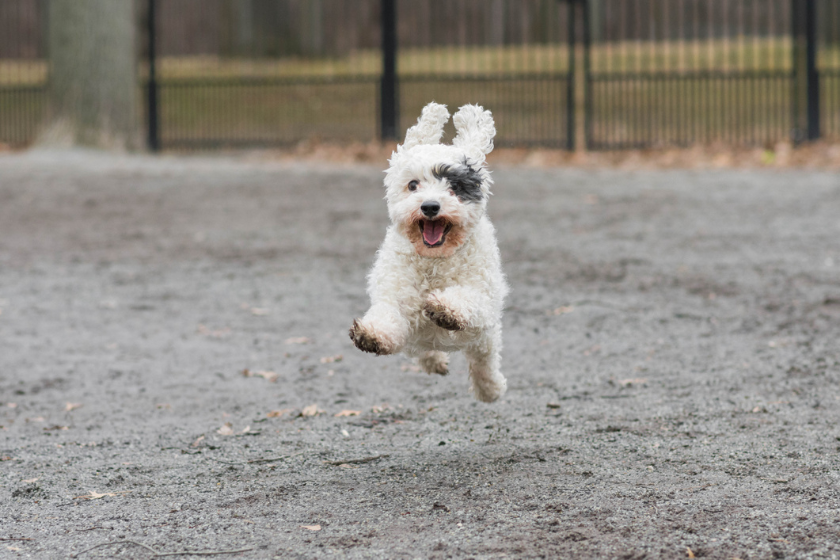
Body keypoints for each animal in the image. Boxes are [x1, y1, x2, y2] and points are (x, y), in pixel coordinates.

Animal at [350, 101, 508, 402]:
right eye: (413, 185)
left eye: (455, 186)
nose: (430, 206)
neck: (435, 261)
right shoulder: (395, 295)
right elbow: (388, 315)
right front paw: (372, 335)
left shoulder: (483, 299)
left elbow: (468, 300)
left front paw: (446, 308)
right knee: (424, 351)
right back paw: (435, 361)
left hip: (484, 338)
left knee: (484, 360)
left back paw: (490, 388)